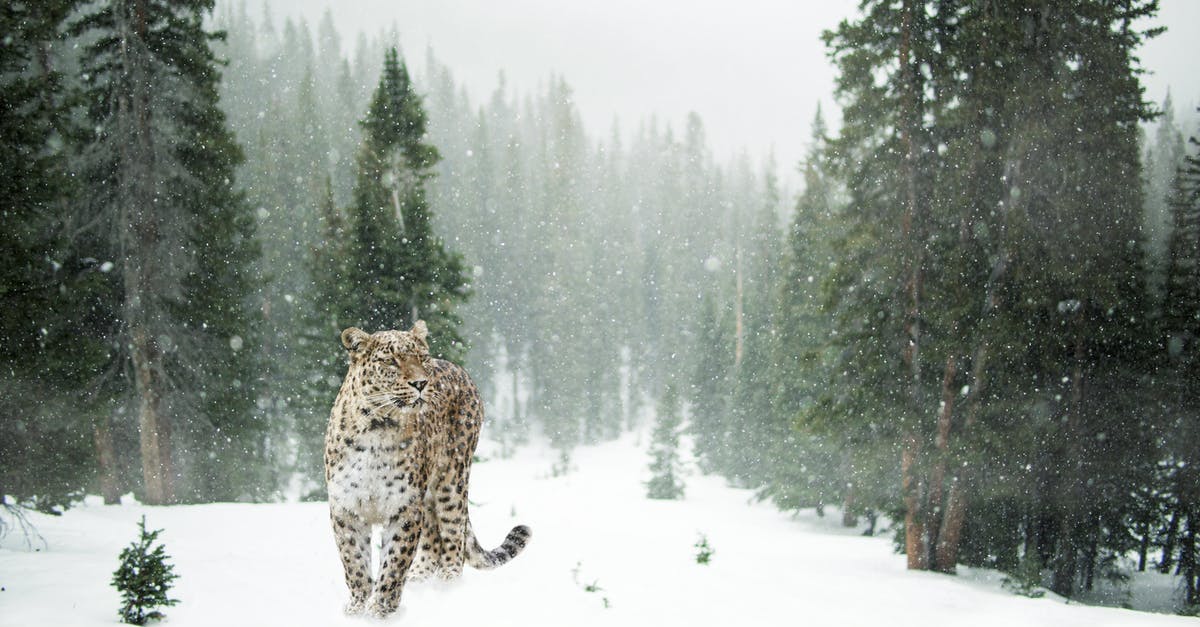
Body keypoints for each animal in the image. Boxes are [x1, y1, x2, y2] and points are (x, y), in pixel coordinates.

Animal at [324, 317, 530, 614]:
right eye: (391, 361)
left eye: (422, 358)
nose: (421, 383)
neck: (377, 428)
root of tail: (458, 369)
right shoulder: (346, 507)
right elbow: (354, 563)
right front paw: (357, 608)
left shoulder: (405, 507)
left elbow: (394, 563)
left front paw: (380, 610)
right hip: (430, 495)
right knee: (433, 537)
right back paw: (419, 579)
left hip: (452, 480)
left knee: (453, 534)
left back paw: (447, 585)